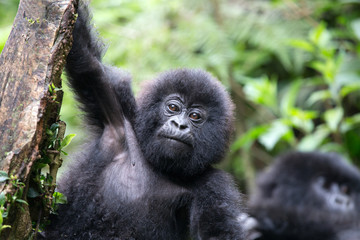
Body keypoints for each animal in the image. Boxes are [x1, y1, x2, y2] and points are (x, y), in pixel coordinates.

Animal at [41, 1, 245, 240]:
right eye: (173, 107)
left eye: (195, 116)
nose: (179, 125)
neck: (160, 167)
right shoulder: (120, 120)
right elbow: (88, 64)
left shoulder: (213, 184)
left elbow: (218, 231)